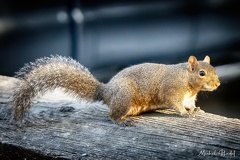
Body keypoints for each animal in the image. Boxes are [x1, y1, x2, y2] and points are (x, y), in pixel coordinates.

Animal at [12, 55, 220, 126]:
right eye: (202, 73)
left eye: (215, 69)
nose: (218, 84)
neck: (186, 79)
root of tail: (107, 92)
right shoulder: (172, 91)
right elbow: (175, 104)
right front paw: (185, 114)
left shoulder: (189, 97)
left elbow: (189, 103)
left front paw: (195, 110)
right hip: (125, 98)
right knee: (112, 115)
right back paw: (122, 121)